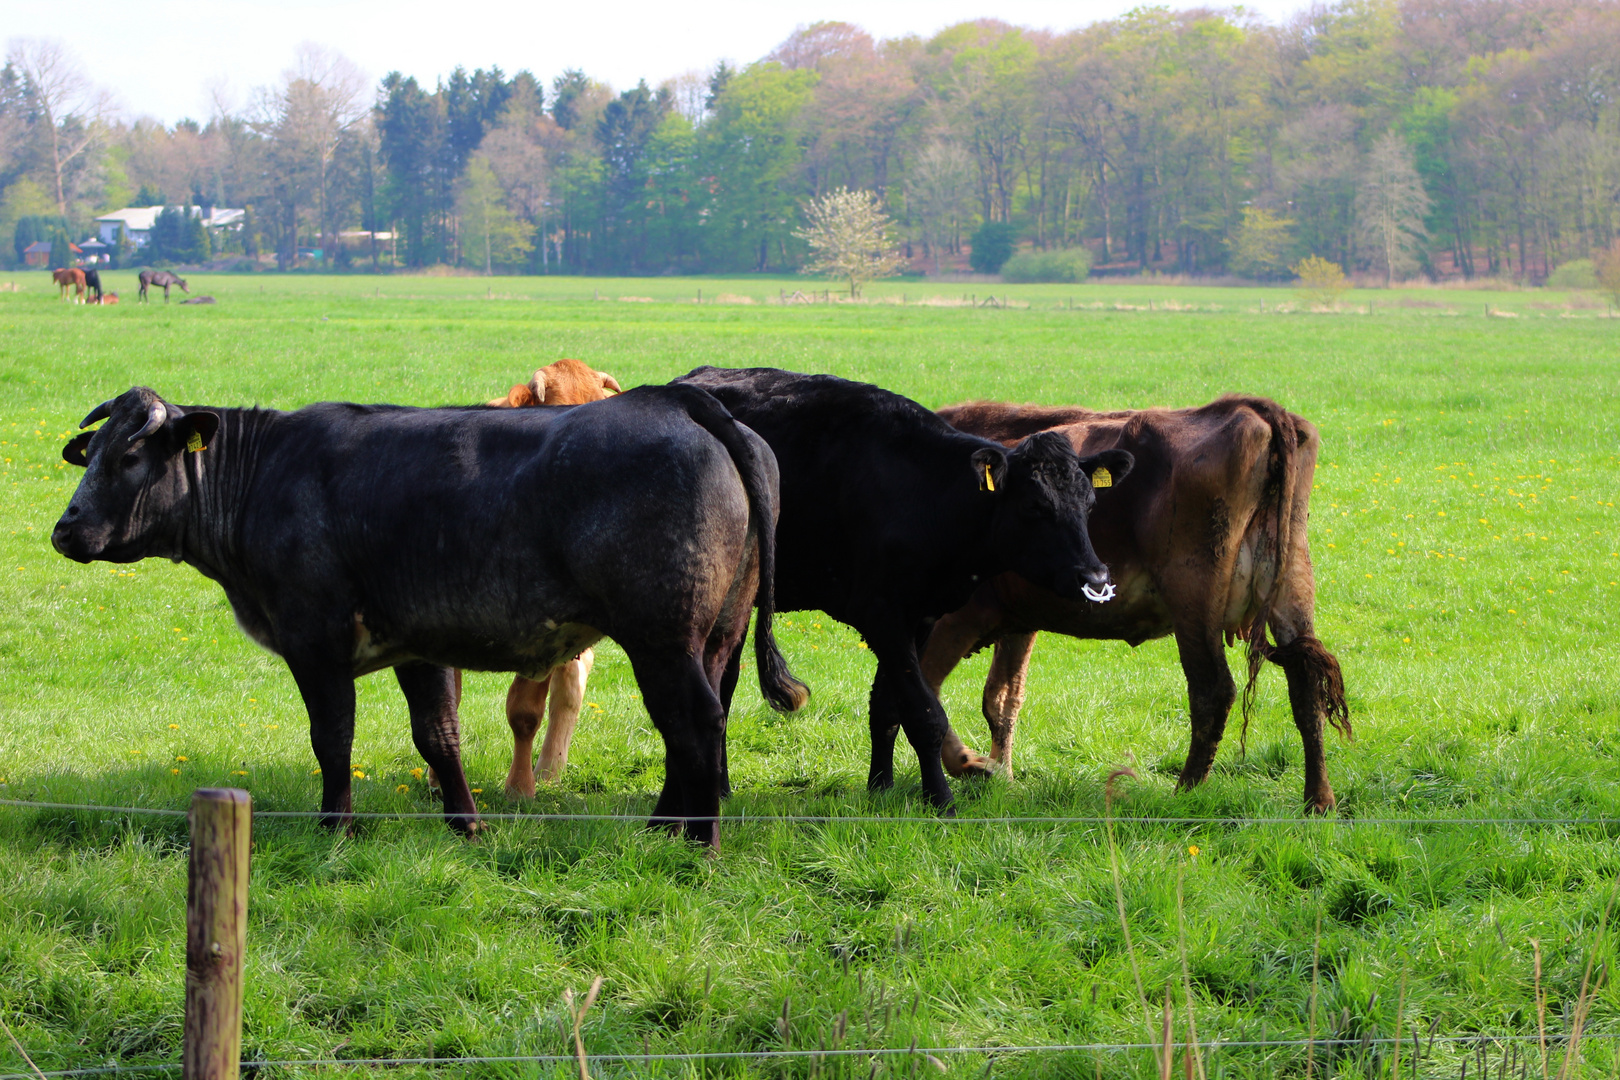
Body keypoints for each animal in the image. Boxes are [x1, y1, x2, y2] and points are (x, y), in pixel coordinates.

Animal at [50, 383, 810, 848]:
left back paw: (699, 841)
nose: (65, 528)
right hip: (712, 635)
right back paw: (664, 829)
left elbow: (333, 739)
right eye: (89, 454)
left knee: (696, 722)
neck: (266, 474)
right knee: (695, 723)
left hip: (662, 638)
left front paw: (335, 828)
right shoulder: (418, 644)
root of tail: (677, 398)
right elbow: (438, 736)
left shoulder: (315, 640)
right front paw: (465, 825)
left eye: (129, 456)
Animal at [664, 369, 1134, 809]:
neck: (927, 494)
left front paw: (881, 788)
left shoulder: (920, 617)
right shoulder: (882, 615)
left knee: (724, 683)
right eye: (1035, 507)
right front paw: (941, 801)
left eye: (1089, 504)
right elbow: (924, 713)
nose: (1095, 577)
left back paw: (723, 788)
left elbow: (888, 707)